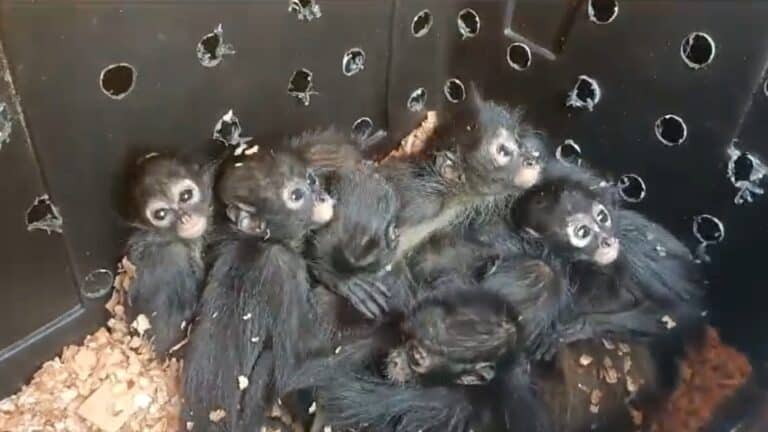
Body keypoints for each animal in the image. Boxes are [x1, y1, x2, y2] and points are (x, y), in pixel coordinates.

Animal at [180, 144, 335, 432]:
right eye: (297, 196)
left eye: (311, 179)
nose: (321, 197)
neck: (258, 242)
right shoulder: (285, 268)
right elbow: (297, 366)